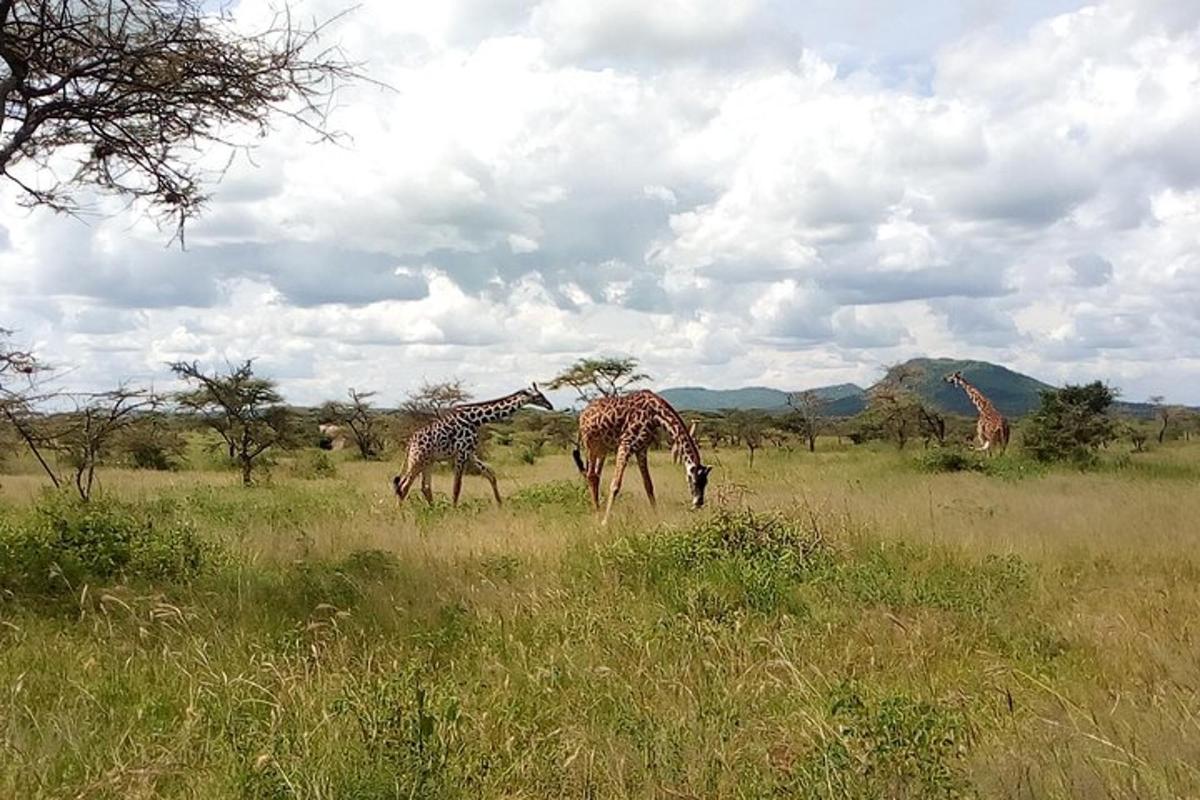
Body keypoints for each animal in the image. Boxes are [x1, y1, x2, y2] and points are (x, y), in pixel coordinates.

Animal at [393, 383, 552, 506]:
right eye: (538, 396)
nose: (550, 405)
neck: (475, 419)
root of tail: (410, 443)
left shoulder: (470, 453)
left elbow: (491, 474)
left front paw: (500, 504)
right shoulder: (461, 453)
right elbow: (457, 486)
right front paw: (454, 510)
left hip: (428, 461)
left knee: (424, 487)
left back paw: (433, 511)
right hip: (417, 460)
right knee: (403, 486)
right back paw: (400, 514)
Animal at [573, 388, 710, 525]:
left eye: (706, 483)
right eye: (695, 481)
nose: (699, 503)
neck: (654, 413)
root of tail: (582, 416)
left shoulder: (642, 449)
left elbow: (648, 485)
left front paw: (657, 517)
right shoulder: (625, 444)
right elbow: (615, 485)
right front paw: (605, 522)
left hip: (603, 449)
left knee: (596, 475)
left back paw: (598, 511)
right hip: (590, 445)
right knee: (591, 475)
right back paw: (597, 516)